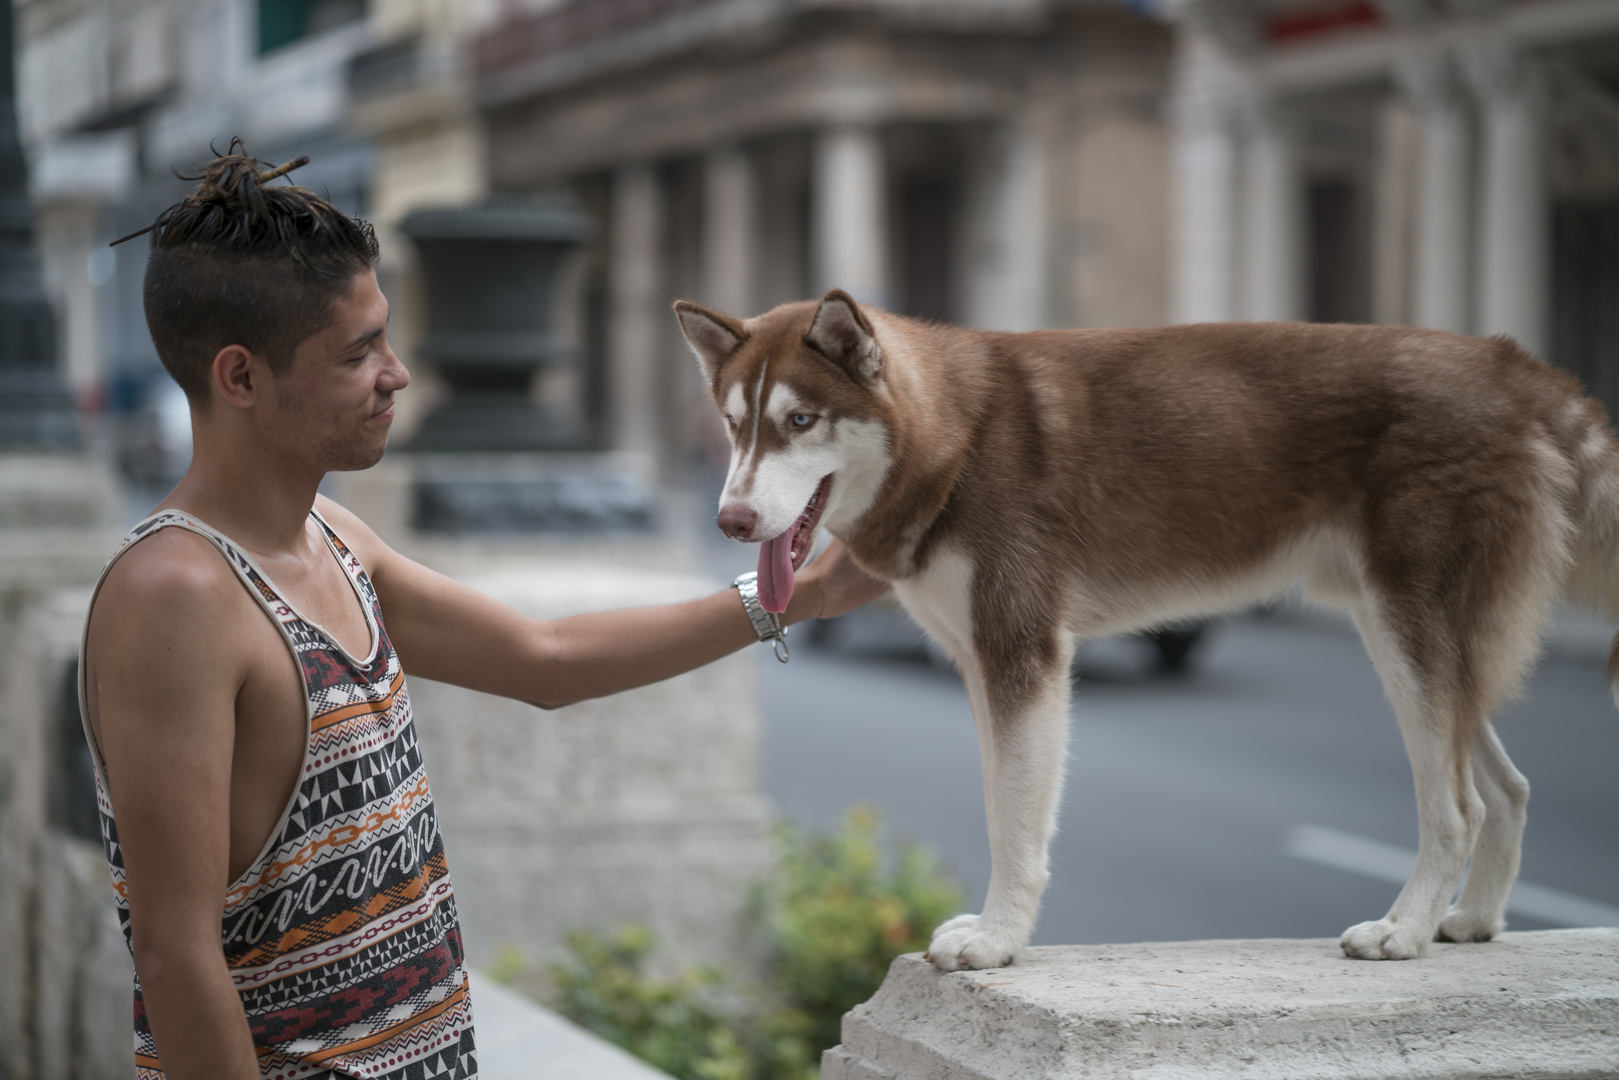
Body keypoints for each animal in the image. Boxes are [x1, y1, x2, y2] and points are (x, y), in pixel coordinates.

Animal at [673, 289, 1619, 971]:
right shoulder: (982, 664)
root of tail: (1509, 366)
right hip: (1416, 644)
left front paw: (999, 940)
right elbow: (1000, 803)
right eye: (733, 425)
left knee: (1456, 803)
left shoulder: (1023, 654)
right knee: (1507, 787)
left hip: (1408, 632)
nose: (730, 520)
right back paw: (1473, 919)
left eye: (799, 422)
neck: (955, 440)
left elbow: (1015, 823)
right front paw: (995, 925)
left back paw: (1406, 930)